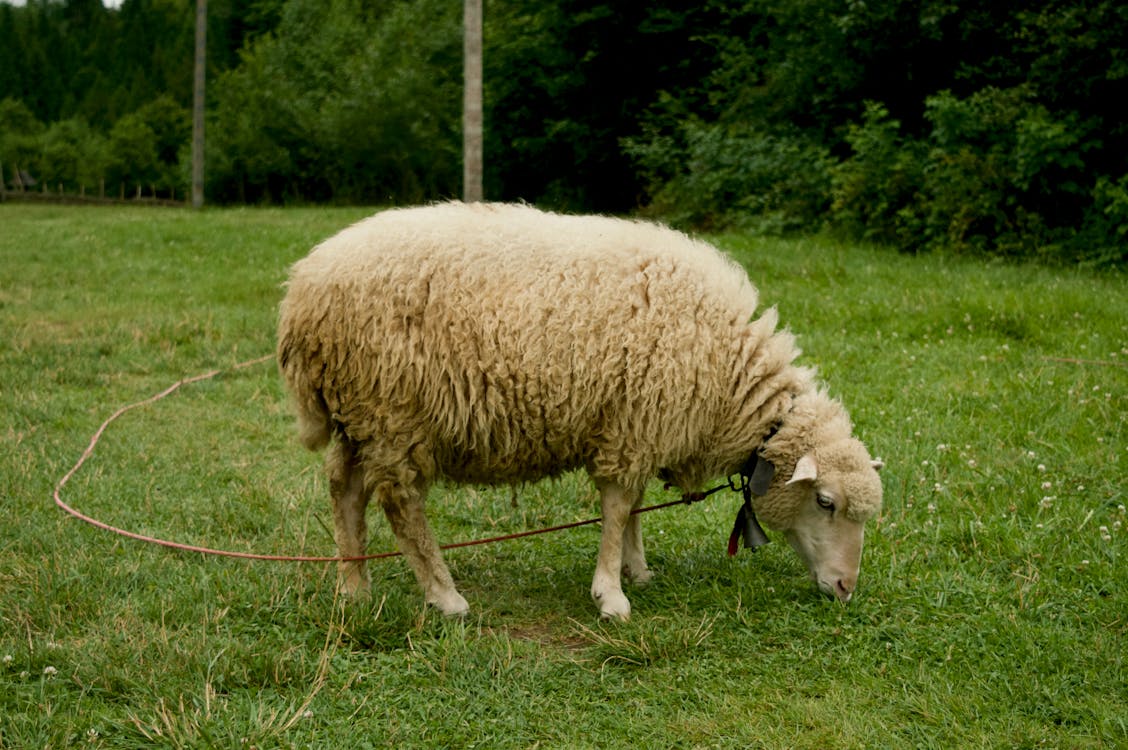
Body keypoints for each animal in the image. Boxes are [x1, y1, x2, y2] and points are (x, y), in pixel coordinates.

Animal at [277, 201, 884, 618]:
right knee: (401, 504)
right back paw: (445, 596)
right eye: (825, 502)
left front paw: (636, 570)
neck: (730, 377)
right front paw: (611, 595)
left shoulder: (638, 424)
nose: (846, 589)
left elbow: (633, 506)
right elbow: (616, 509)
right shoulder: (634, 425)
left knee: (345, 490)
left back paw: (354, 589)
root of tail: (301, 291)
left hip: (362, 417)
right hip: (392, 412)